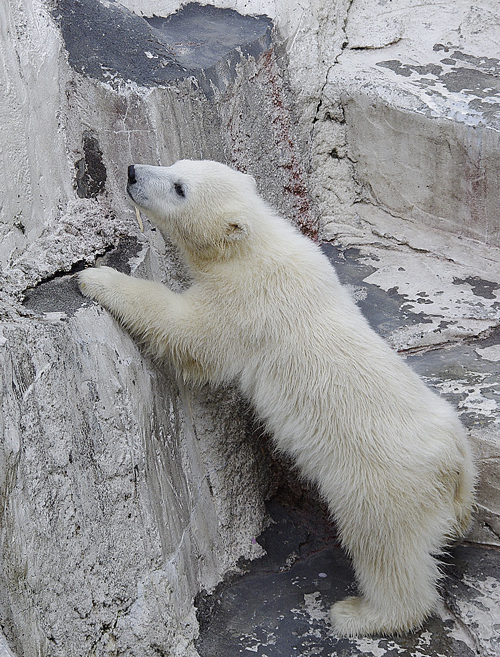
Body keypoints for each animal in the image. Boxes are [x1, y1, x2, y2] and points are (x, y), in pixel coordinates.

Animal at [77, 158, 472, 636]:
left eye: (179, 187)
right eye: (174, 164)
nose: (133, 171)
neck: (254, 244)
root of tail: (452, 463)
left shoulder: (245, 303)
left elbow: (190, 334)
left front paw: (95, 277)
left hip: (380, 485)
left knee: (385, 547)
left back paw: (361, 614)